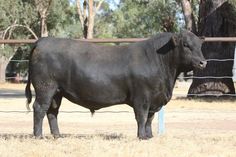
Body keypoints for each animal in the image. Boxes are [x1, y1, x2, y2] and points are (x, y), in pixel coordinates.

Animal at [25, 30, 206, 139]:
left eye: (199, 45)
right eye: (186, 45)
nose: (203, 62)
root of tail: (43, 40)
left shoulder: (154, 100)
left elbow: (149, 118)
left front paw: (149, 136)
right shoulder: (142, 98)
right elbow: (141, 117)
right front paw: (141, 136)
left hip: (57, 92)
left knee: (52, 112)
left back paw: (58, 136)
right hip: (45, 88)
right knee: (40, 108)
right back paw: (38, 136)